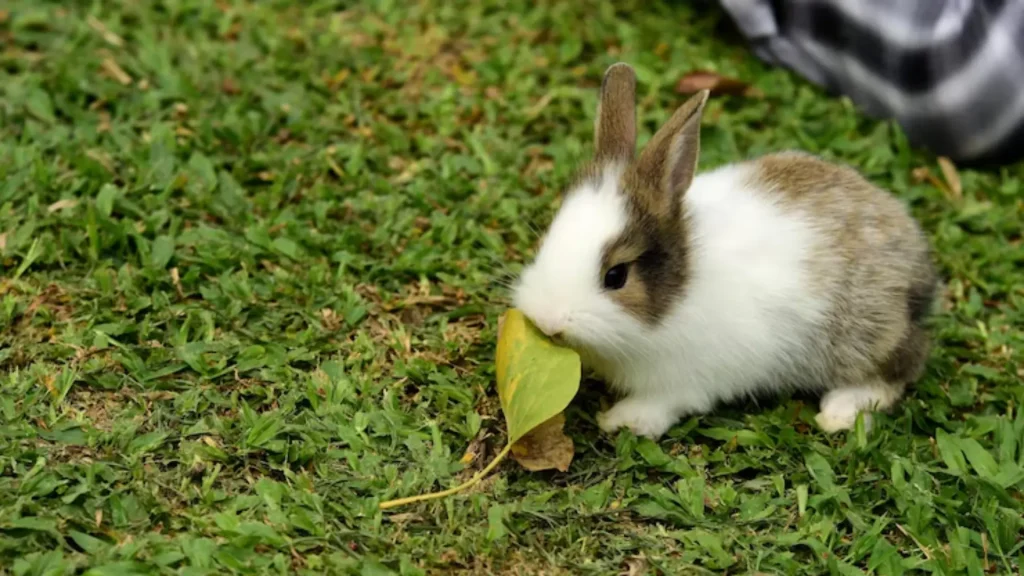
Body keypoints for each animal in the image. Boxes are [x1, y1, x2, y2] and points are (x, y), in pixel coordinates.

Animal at [512, 63, 937, 439]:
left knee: (897, 370)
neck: (679, 291)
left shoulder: (688, 378)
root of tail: (918, 261)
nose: (548, 321)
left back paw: (840, 412)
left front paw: (623, 421)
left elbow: (664, 403)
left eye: (616, 276)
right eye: (548, 239)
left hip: (866, 335)